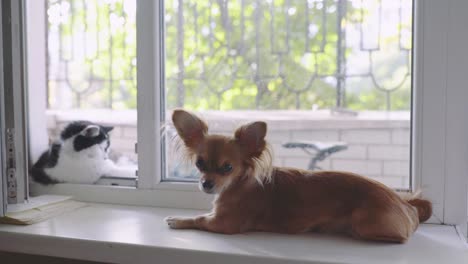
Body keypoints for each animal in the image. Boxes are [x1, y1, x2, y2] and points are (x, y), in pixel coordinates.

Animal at [166, 109, 434, 243]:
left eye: (227, 168)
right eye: (199, 163)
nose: (207, 184)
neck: (239, 185)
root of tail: (406, 204)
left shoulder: (224, 224)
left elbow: (200, 219)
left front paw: (178, 220)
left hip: (366, 223)